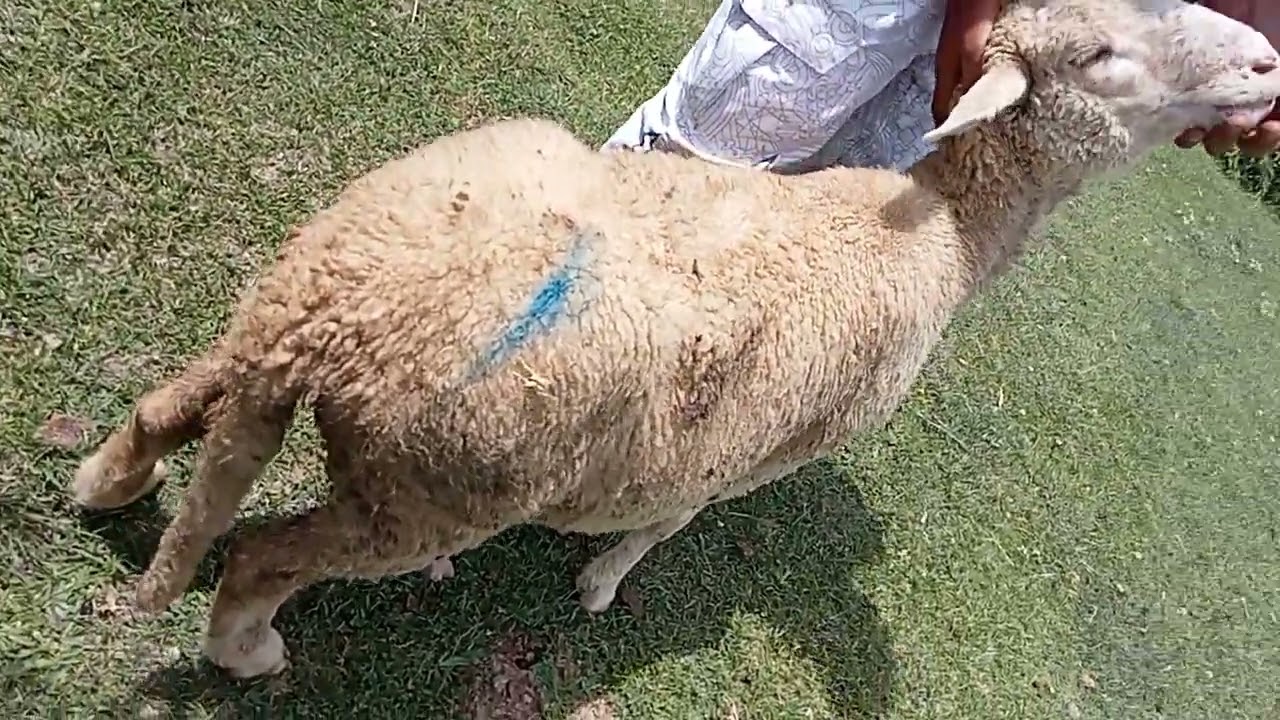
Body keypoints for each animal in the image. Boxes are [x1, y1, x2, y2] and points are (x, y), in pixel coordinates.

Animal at [70, 0, 1280, 679]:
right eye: (1101, 49)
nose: (1266, 63)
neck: (938, 235)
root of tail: (345, 313)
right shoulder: (773, 440)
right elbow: (676, 516)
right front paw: (603, 583)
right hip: (435, 484)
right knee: (263, 558)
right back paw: (247, 651)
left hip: (287, 302)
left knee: (165, 408)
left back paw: (107, 483)